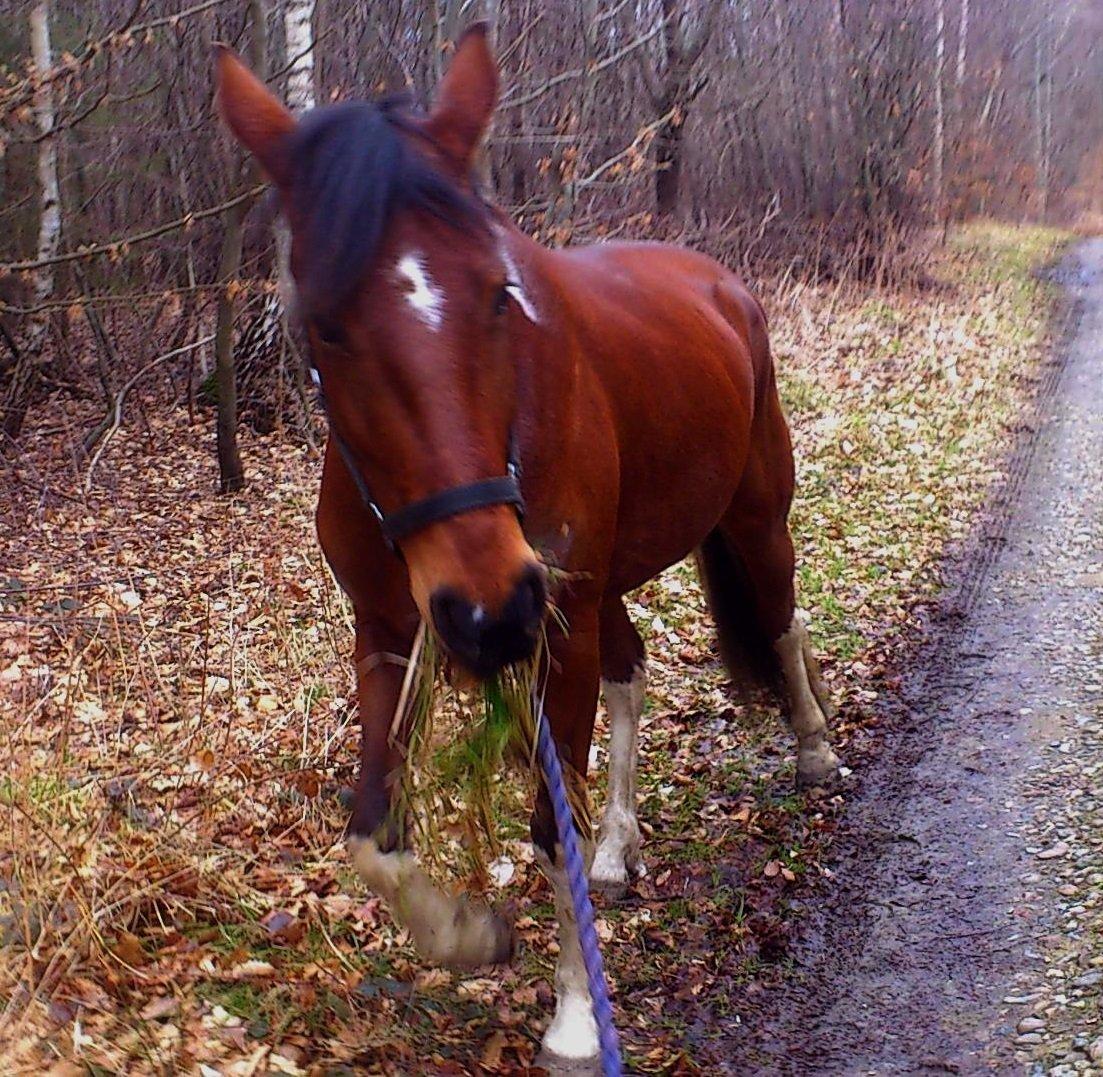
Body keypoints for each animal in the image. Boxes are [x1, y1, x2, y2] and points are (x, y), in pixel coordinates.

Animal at [212, 25, 833, 1068]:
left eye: (499, 294)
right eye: (324, 326)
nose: (488, 608)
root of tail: (719, 283)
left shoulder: (550, 624)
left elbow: (551, 828)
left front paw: (578, 1017)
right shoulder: (389, 632)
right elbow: (372, 833)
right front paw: (467, 931)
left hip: (748, 523)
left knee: (780, 623)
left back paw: (816, 750)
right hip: (595, 585)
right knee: (632, 667)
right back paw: (621, 845)